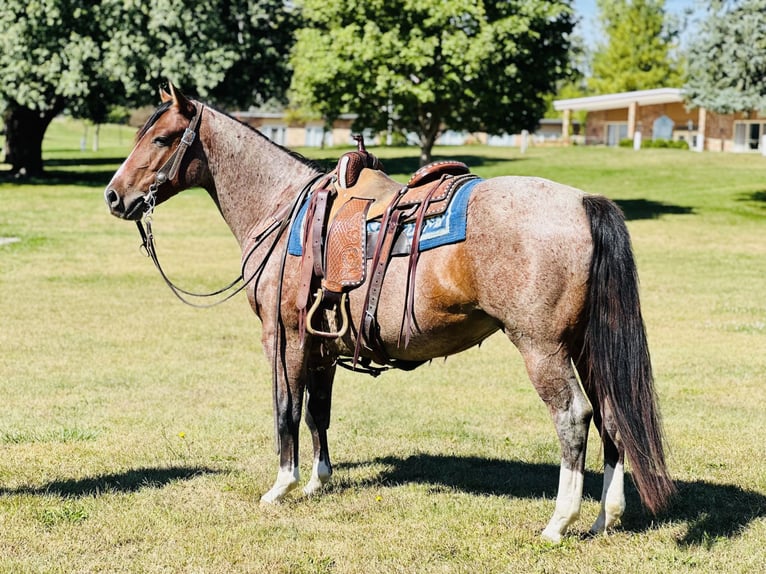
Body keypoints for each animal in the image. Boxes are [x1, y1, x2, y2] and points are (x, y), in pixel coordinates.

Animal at [105, 85, 676, 544]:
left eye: (162, 139)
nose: (114, 196)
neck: (282, 210)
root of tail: (583, 202)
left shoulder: (283, 336)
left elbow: (286, 408)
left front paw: (282, 485)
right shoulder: (323, 342)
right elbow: (318, 412)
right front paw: (317, 481)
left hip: (543, 347)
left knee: (574, 418)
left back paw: (560, 522)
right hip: (586, 345)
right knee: (611, 415)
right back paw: (605, 518)